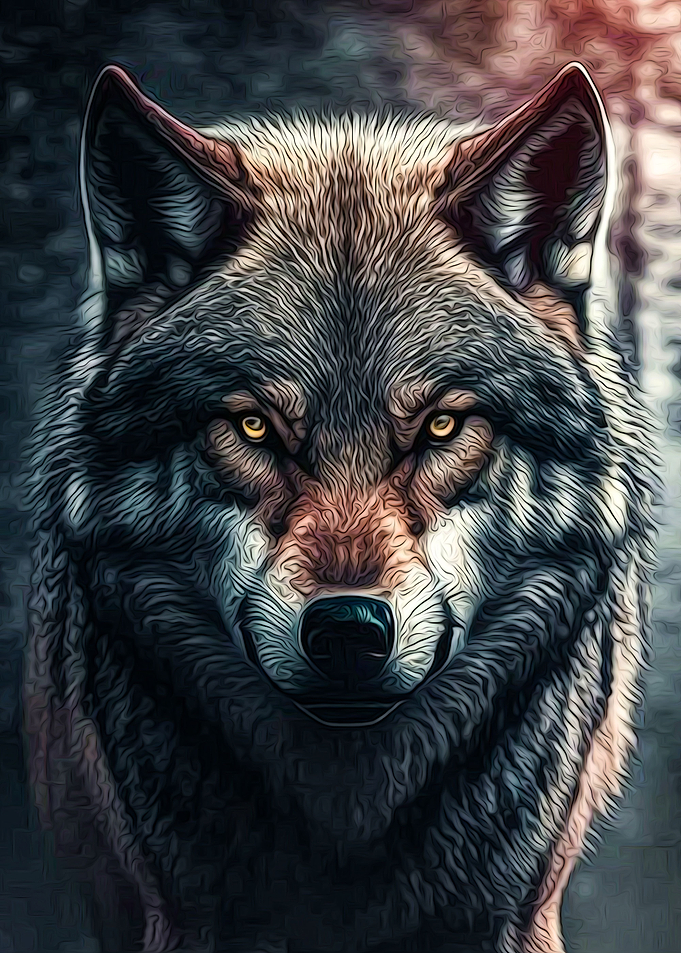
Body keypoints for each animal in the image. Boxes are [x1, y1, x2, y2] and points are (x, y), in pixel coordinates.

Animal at [25, 62, 653, 953]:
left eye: (440, 425)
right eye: (253, 425)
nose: (348, 629)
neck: (346, 815)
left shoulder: (514, 914)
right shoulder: (183, 915)